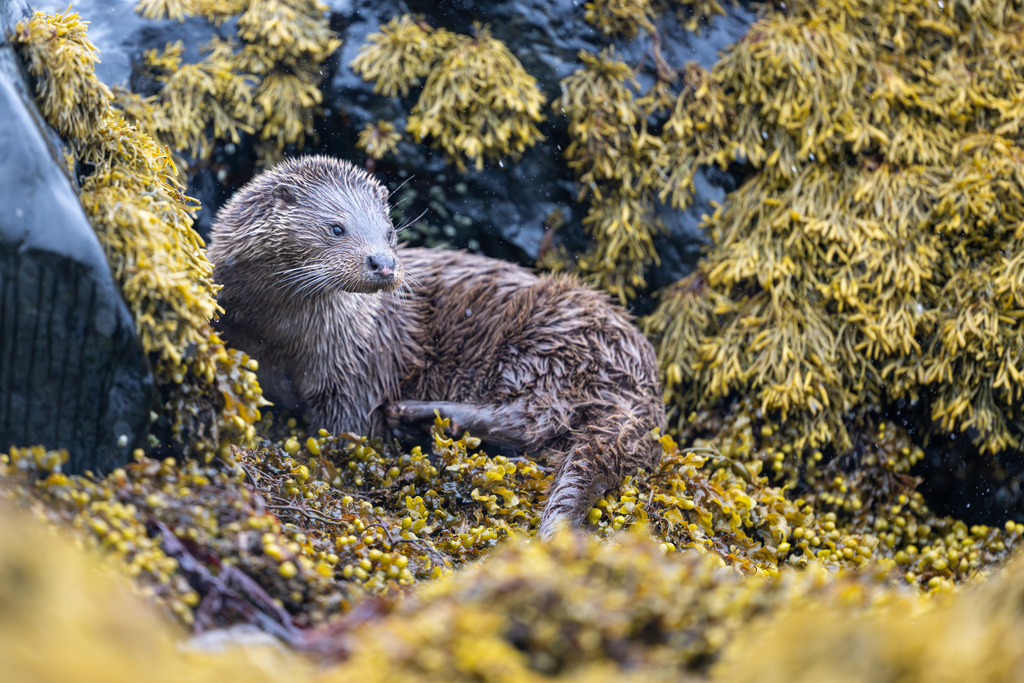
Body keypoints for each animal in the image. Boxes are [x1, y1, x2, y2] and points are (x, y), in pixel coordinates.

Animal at [208, 156, 665, 538]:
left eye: (390, 233)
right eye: (336, 227)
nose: (383, 263)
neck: (280, 339)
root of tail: (640, 374)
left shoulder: (356, 366)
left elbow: (352, 429)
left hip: (546, 339)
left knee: (535, 417)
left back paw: (417, 414)